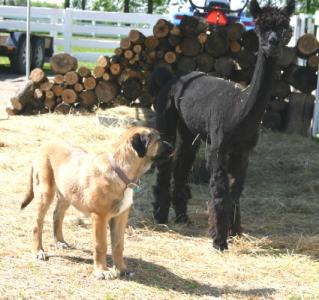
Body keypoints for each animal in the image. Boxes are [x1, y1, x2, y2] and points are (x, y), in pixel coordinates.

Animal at [20, 126, 172, 278]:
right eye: (158, 140)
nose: (172, 146)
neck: (121, 172)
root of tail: (44, 145)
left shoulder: (121, 216)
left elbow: (118, 245)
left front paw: (121, 269)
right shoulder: (100, 217)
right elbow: (101, 245)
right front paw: (102, 271)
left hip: (66, 194)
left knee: (57, 215)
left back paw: (60, 242)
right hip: (45, 192)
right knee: (37, 223)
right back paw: (38, 251)